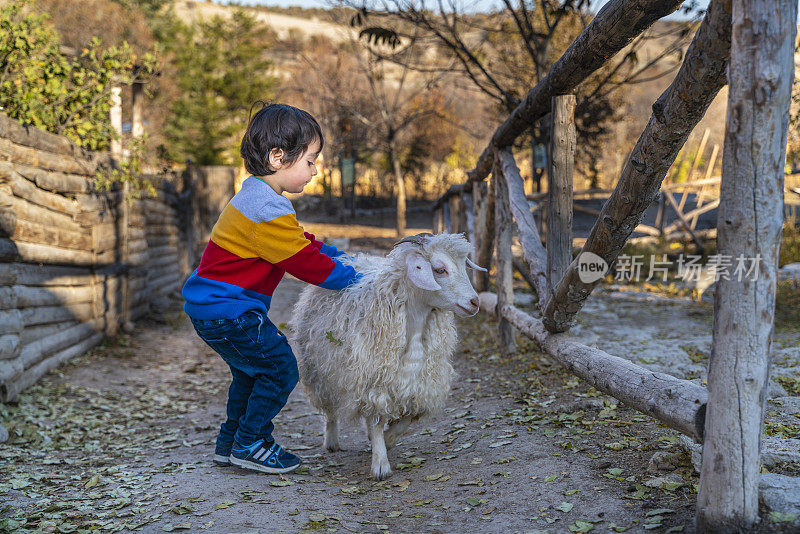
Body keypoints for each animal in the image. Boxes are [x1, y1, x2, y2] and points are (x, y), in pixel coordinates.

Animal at [290, 234, 484, 482]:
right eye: (440, 270)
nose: (474, 302)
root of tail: (348, 256)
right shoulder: (373, 378)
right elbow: (375, 420)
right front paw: (380, 464)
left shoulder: (420, 383)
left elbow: (409, 417)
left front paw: (388, 439)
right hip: (321, 370)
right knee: (330, 410)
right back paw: (332, 440)